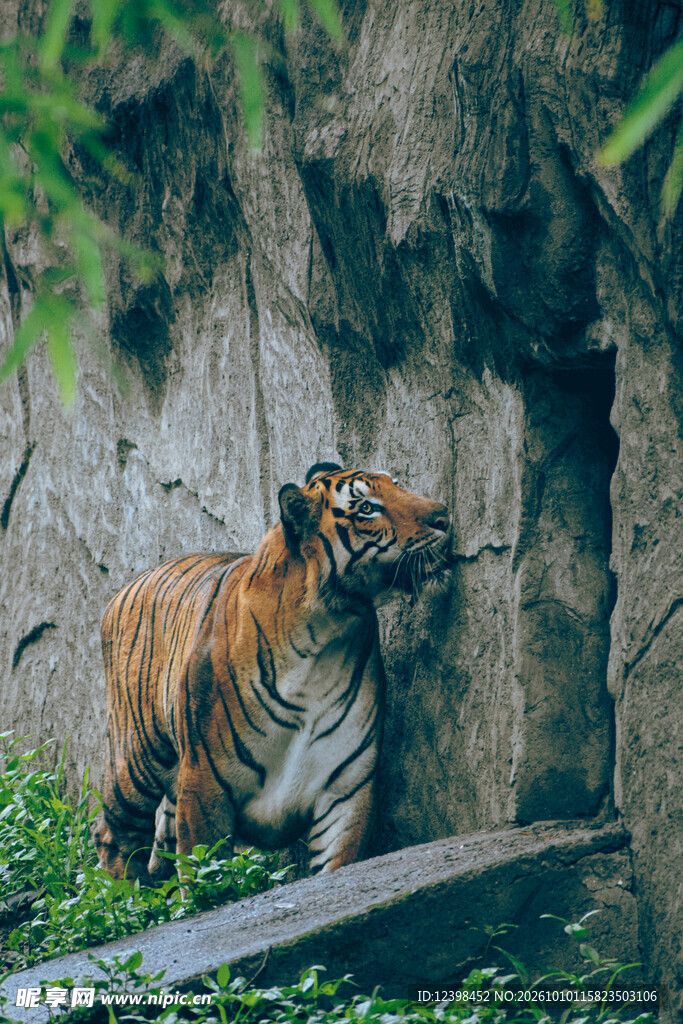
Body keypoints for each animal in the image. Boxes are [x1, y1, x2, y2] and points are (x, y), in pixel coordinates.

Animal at [94, 463, 452, 883]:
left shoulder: (345, 785)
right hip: (137, 759)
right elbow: (205, 875)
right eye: (366, 508)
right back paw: (122, 894)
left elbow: (337, 864)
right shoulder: (204, 783)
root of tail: (128, 585)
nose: (444, 516)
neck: (323, 637)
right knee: (112, 835)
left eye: (398, 485)